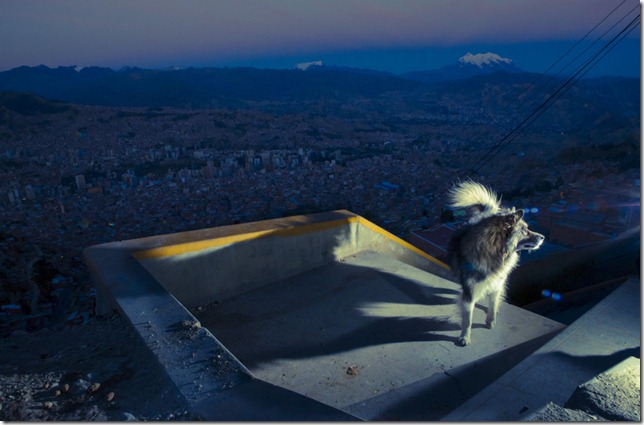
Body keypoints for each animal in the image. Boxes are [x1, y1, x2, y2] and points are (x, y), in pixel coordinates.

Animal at [448, 181, 544, 346]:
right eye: (525, 231)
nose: (542, 237)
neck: (494, 252)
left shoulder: (497, 283)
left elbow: (492, 305)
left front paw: (490, 321)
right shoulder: (470, 290)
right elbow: (468, 317)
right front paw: (465, 336)